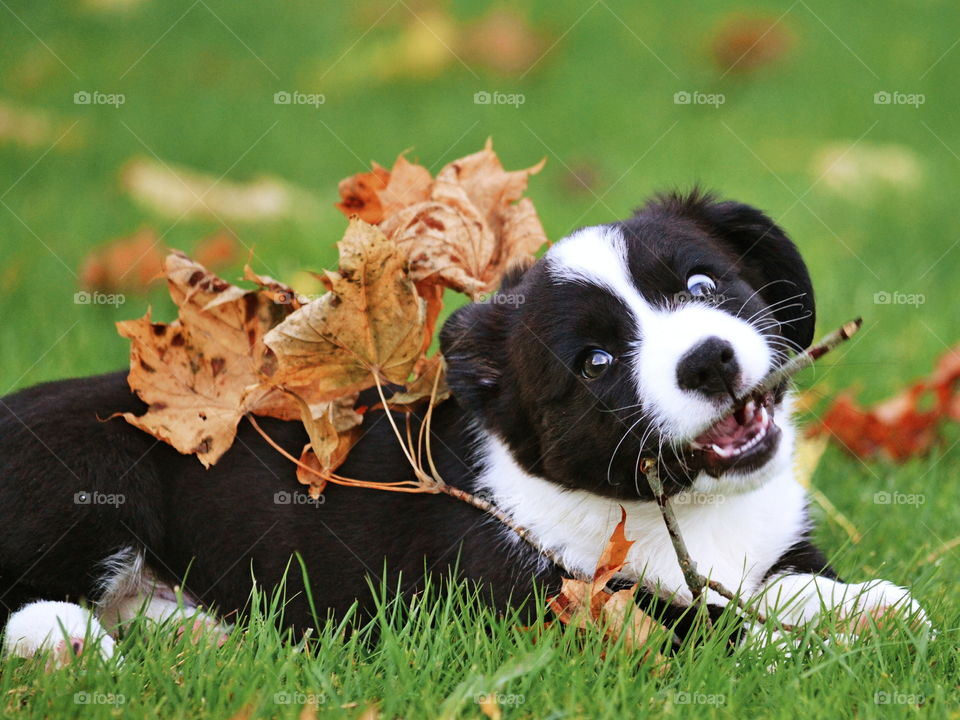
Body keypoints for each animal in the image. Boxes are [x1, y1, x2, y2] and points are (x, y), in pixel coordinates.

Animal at [1, 191, 928, 664]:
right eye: (595, 361)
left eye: (703, 284)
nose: (707, 362)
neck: (688, 511)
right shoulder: (549, 607)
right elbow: (709, 627)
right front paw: (849, 633)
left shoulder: (771, 544)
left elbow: (789, 585)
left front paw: (874, 606)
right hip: (88, 471)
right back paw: (64, 642)